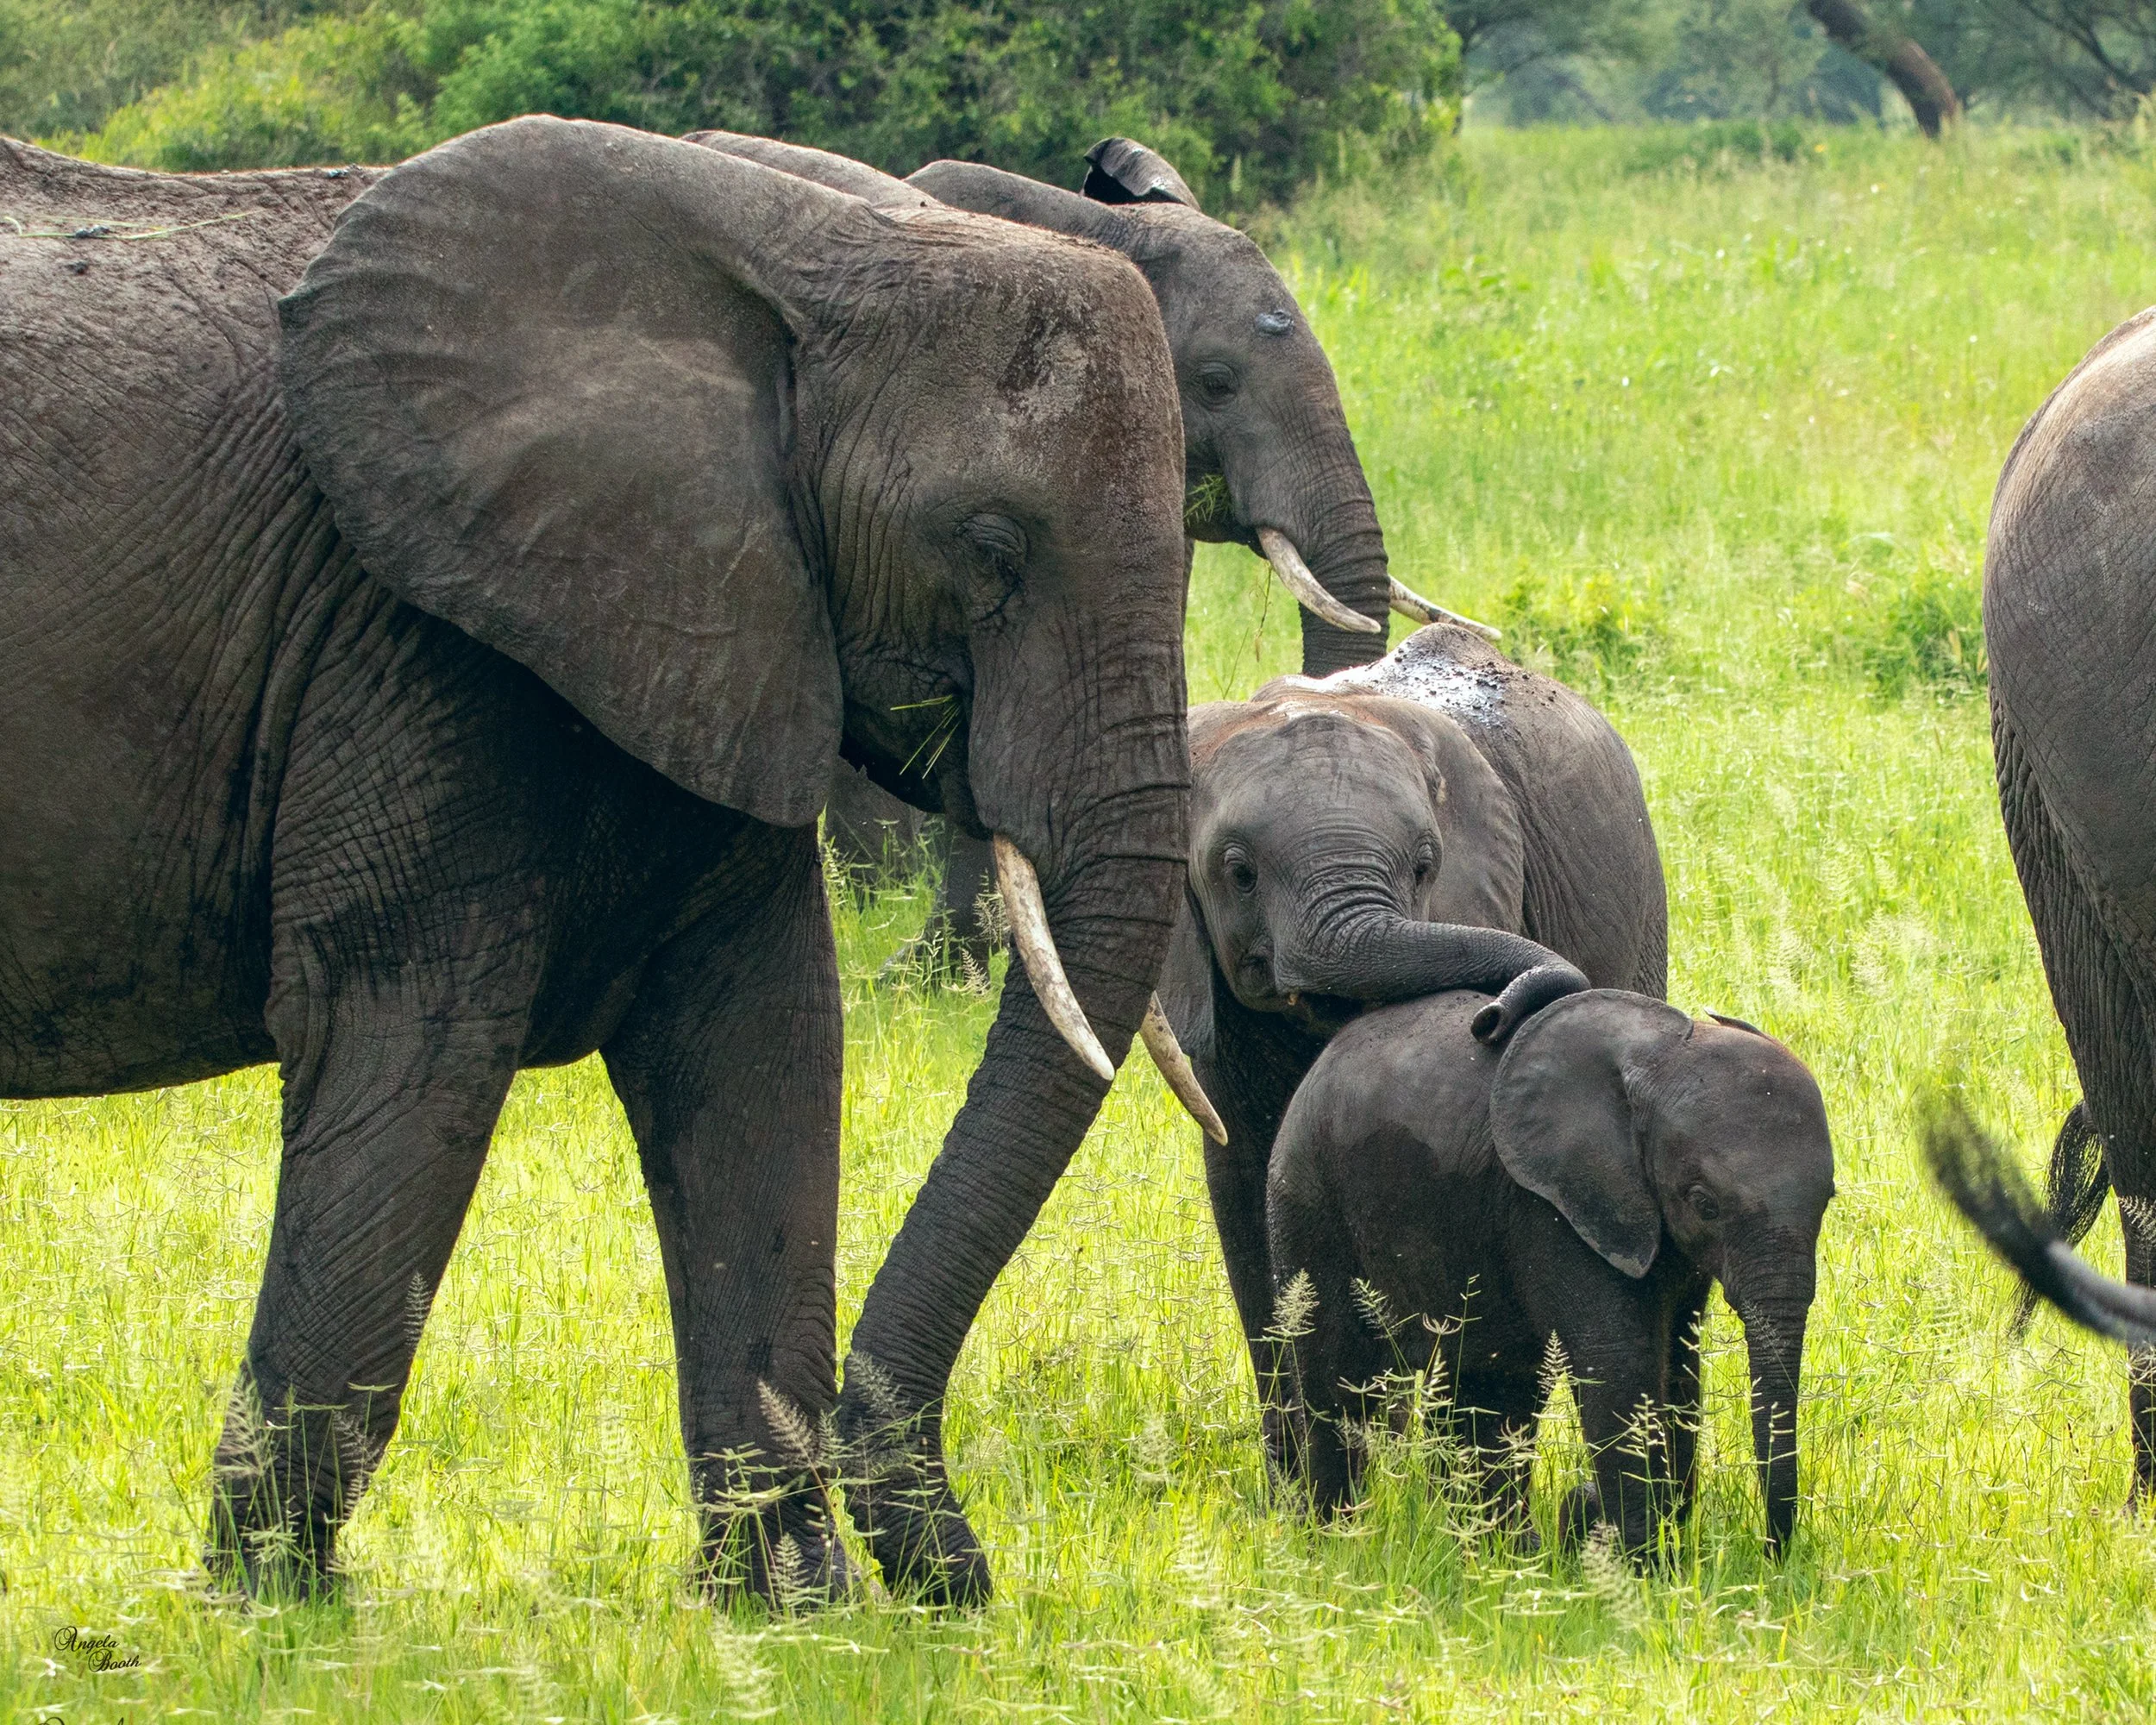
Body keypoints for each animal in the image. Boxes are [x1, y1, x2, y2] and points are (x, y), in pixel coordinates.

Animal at [0, 115, 1260, 1605]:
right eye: (991, 547)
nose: (964, 1577)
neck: (799, 243)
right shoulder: (409, 632)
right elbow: (411, 1037)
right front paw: (268, 1613)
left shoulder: (733, 612)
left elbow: (760, 1042)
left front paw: (794, 1607)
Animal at [1267, 988, 1834, 1558]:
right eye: (1704, 1204)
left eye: (1828, 1200)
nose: (1772, 1556)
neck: (1656, 1060)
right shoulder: (1554, 1205)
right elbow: (1620, 1359)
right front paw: (1636, 1564)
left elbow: (1678, 1359)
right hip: (1306, 1195)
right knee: (1336, 1372)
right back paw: (1335, 1540)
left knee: (1491, 1389)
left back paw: (1500, 1554)